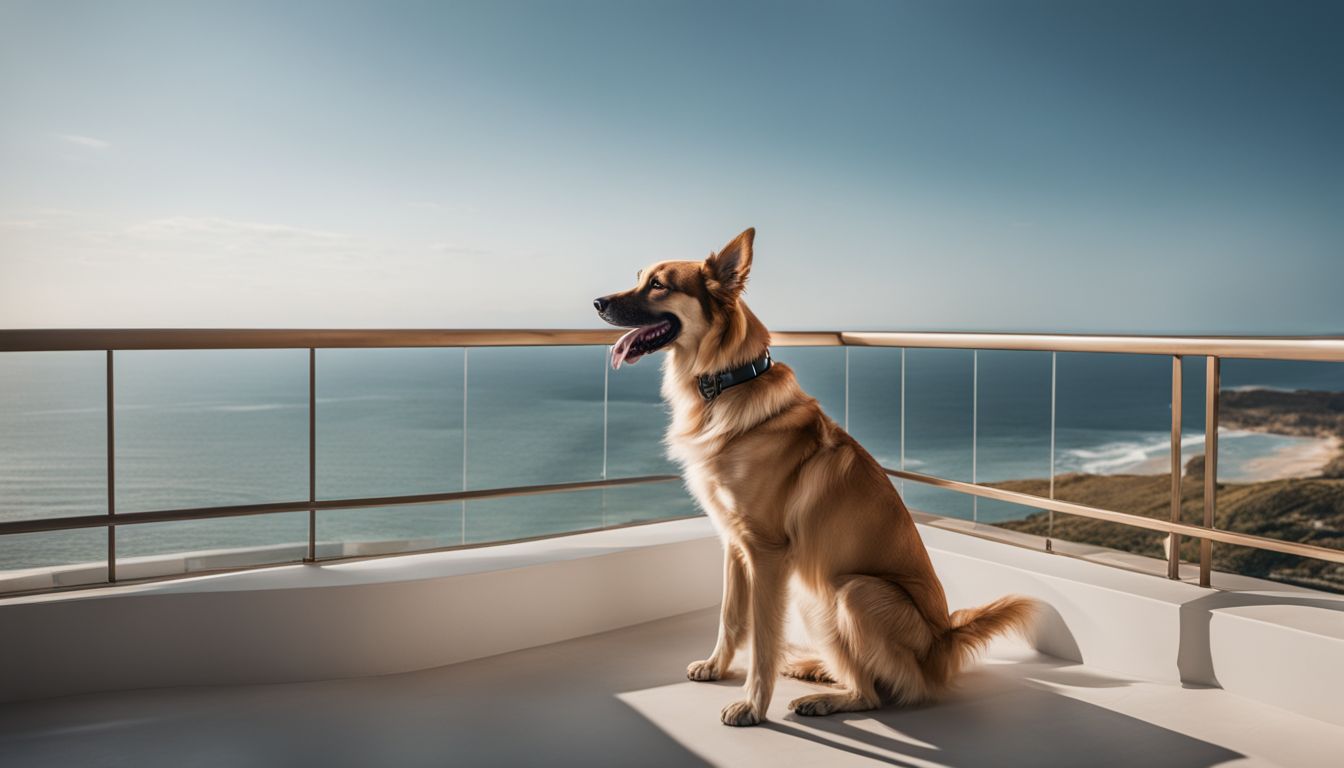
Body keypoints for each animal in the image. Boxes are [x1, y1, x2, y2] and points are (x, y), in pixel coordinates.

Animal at [594, 227, 1032, 726]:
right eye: (640, 277)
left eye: (658, 285)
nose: (598, 303)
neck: (728, 381)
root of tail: (943, 644)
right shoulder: (734, 543)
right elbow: (730, 616)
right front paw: (716, 666)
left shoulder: (767, 554)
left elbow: (764, 638)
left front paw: (752, 705)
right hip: (813, 593)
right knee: (864, 673)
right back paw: (817, 670)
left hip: (852, 591)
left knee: (879, 692)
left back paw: (826, 697)